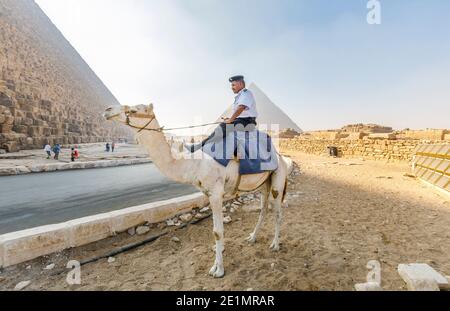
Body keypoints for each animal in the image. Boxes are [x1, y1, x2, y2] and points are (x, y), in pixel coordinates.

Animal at [103, 104, 294, 278]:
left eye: (133, 109)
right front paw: (219, 256)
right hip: (263, 184)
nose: (107, 110)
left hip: (278, 179)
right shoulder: (208, 193)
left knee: (278, 212)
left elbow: (217, 231)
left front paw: (218, 270)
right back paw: (252, 237)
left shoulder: (216, 193)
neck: (193, 163)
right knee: (263, 210)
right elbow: (216, 230)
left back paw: (275, 245)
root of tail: (280, 156)